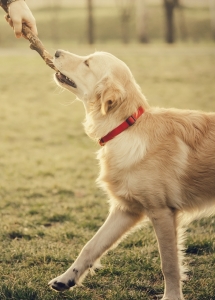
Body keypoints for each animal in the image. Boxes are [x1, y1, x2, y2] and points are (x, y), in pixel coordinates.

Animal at [48, 49, 215, 300]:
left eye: (87, 63)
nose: (57, 52)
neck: (125, 127)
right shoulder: (126, 209)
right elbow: (91, 246)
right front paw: (66, 278)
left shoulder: (162, 212)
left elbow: (169, 265)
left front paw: (171, 296)